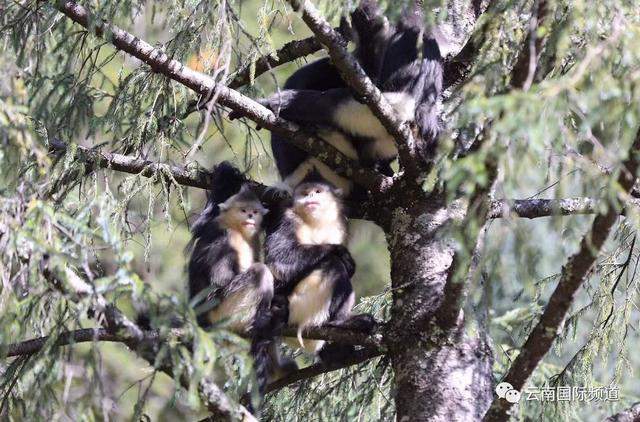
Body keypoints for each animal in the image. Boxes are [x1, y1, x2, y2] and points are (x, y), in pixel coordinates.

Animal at [186, 162, 294, 396]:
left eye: (254, 211)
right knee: (261, 272)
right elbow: (219, 279)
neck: (237, 229)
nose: (251, 217)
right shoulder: (222, 236)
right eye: (244, 210)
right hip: (223, 309)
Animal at [264, 175, 376, 356]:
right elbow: (279, 257)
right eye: (305, 193)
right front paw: (340, 252)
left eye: (317, 191)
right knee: (334, 264)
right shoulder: (287, 218)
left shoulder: (339, 223)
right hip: (302, 305)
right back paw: (339, 322)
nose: (310, 196)